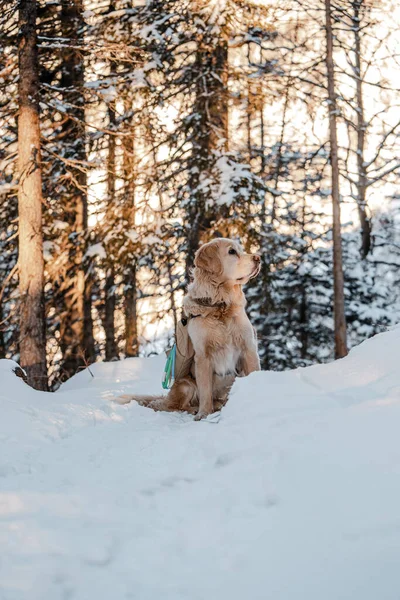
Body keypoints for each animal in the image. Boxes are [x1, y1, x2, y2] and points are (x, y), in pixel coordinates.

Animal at [114, 237, 260, 420]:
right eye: (232, 251)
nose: (258, 258)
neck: (220, 306)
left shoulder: (248, 347)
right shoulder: (203, 356)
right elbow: (205, 391)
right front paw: (204, 414)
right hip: (185, 384)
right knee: (172, 406)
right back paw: (195, 409)